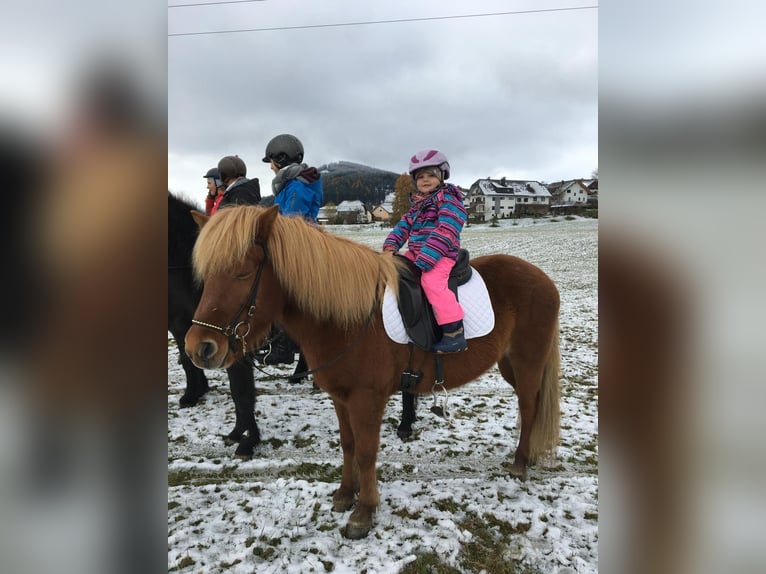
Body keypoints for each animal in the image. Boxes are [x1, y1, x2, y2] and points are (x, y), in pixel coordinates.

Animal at [185, 205, 561, 539]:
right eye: (205, 276)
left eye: (243, 273)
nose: (198, 348)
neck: (349, 319)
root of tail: (543, 279)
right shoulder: (341, 398)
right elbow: (349, 445)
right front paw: (343, 494)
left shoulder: (368, 399)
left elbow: (366, 452)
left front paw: (363, 512)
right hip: (509, 364)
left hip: (527, 363)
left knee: (529, 409)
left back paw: (520, 463)